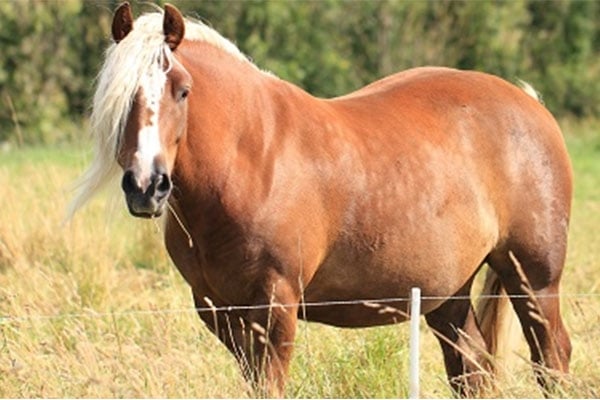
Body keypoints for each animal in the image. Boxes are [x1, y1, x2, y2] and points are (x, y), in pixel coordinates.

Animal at [69, 3, 572, 396]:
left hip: (534, 279)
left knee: (552, 357)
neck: (251, 161)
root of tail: (530, 104)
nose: (146, 186)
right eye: (122, 98)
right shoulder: (219, 310)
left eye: (183, 91)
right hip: (446, 293)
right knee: (471, 368)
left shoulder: (276, 306)